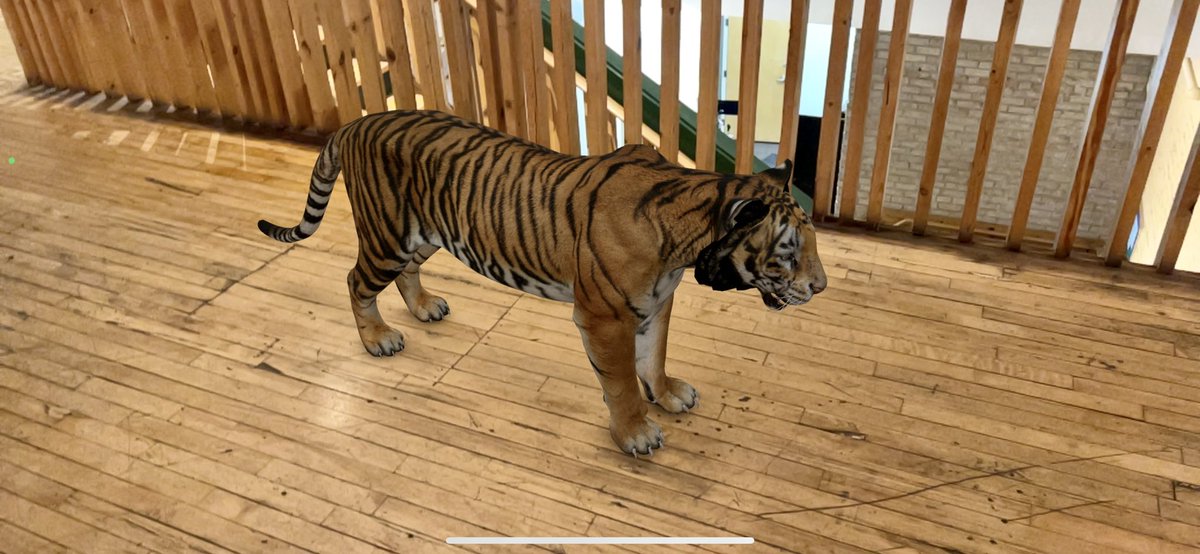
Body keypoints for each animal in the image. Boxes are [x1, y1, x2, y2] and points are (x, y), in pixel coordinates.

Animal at [258, 110, 827, 456]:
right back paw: (377, 339)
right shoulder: (605, 319)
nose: (821, 287)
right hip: (386, 236)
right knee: (355, 280)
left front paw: (667, 393)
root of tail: (356, 121)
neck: (686, 240)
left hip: (426, 233)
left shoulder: (657, 303)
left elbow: (654, 357)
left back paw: (424, 307)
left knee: (407, 274)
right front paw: (636, 433)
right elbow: (622, 383)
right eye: (788, 252)